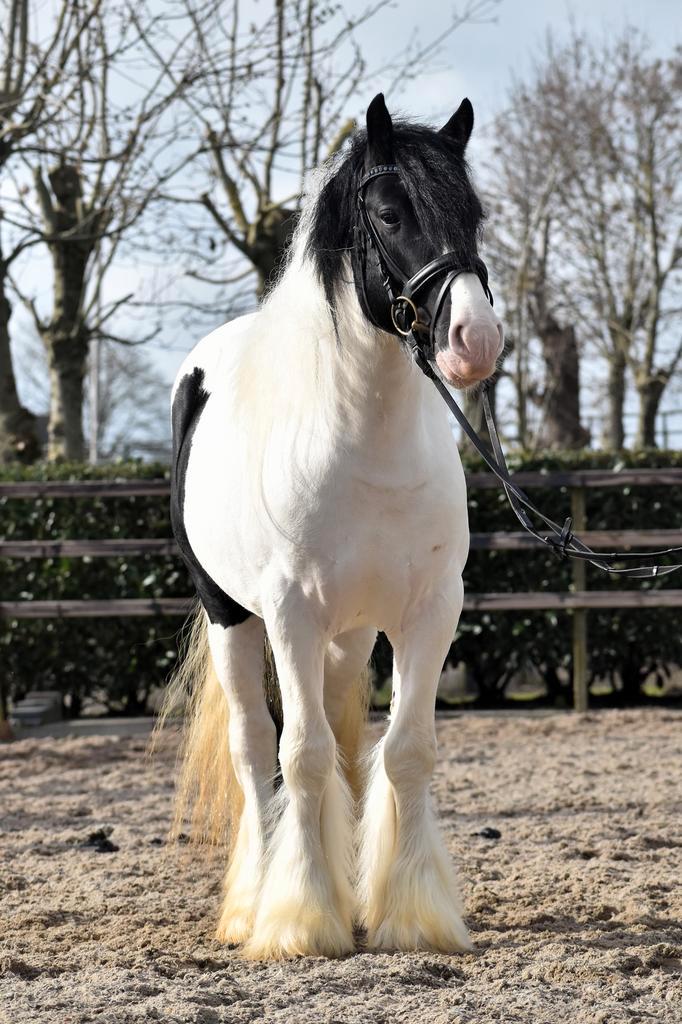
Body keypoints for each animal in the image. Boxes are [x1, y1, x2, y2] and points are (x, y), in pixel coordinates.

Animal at [167, 92, 504, 960]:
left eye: (474, 213)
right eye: (389, 213)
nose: (475, 341)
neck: (366, 449)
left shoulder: (430, 612)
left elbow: (404, 752)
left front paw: (410, 916)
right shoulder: (290, 613)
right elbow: (301, 754)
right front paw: (301, 921)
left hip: (349, 635)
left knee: (346, 748)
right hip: (233, 617)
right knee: (258, 750)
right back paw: (251, 904)